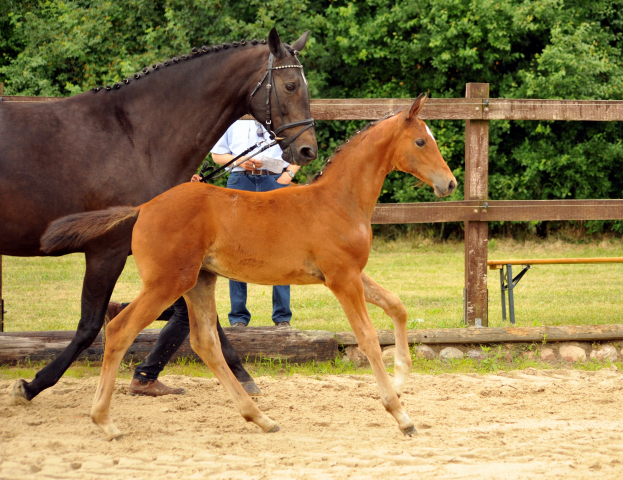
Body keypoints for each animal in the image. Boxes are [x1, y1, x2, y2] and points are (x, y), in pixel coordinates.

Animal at [1, 29, 316, 402]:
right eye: (291, 85)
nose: (308, 150)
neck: (136, 137)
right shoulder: (106, 250)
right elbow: (89, 326)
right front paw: (33, 384)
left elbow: (199, 321)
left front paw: (242, 376)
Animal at [40, 94, 458, 438]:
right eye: (421, 142)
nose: (450, 183)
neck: (339, 200)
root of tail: (144, 208)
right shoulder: (342, 279)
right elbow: (369, 338)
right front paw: (400, 415)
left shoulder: (352, 274)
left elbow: (397, 306)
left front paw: (402, 377)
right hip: (167, 283)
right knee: (119, 330)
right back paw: (104, 421)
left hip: (199, 281)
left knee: (204, 342)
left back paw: (260, 418)